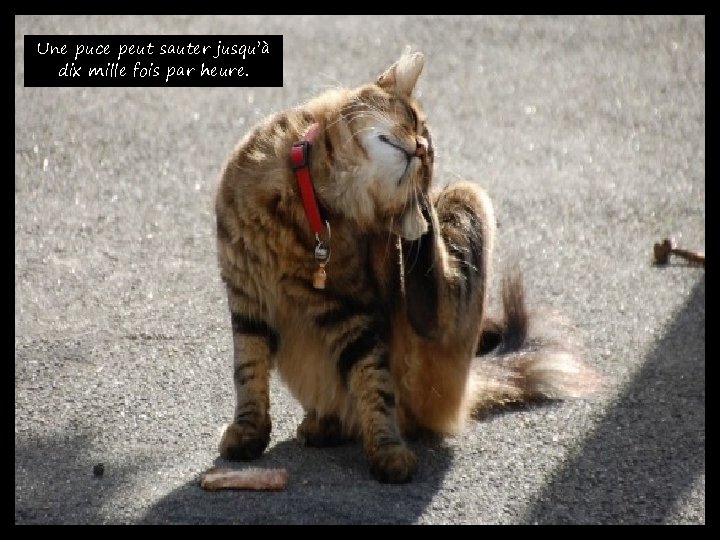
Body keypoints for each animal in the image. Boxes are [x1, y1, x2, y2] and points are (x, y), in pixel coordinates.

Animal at [214, 49, 600, 480]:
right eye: (414, 122)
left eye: (428, 158)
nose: (420, 150)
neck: (312, 203)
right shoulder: (246, 300)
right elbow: (248, 372)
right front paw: (248, 432)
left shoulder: (353, 316)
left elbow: (374, 385)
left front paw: (387, 450)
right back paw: (324, 425)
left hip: (464, 204)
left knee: (430, 306)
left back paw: (423, 219)